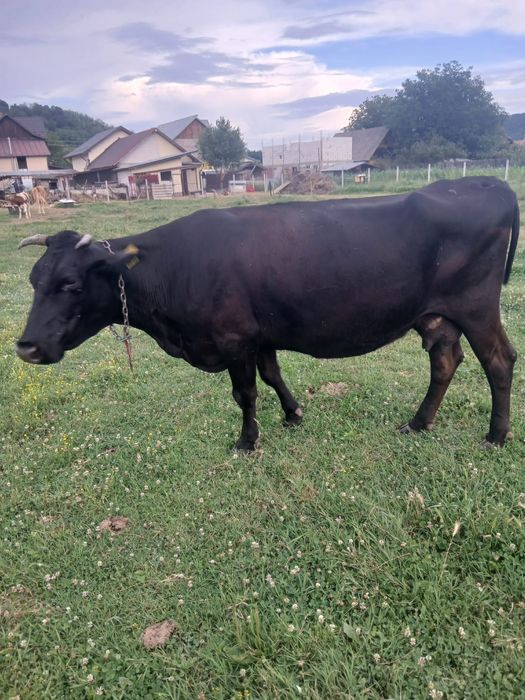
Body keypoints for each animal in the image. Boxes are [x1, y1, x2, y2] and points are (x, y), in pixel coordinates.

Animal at [16, 176, 519, 452]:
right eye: (34, 280)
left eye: (72, 284)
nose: (26, 347)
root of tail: (483, 183)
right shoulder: (260, 334)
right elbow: (273, 375)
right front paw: (293, 414)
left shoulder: (233, 338)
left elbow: (245, 393)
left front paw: (246, 440)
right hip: (436, 315)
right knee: (445, 361)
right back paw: (417, 423)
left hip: (476, 306)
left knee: (499, 361)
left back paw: (496, 435)